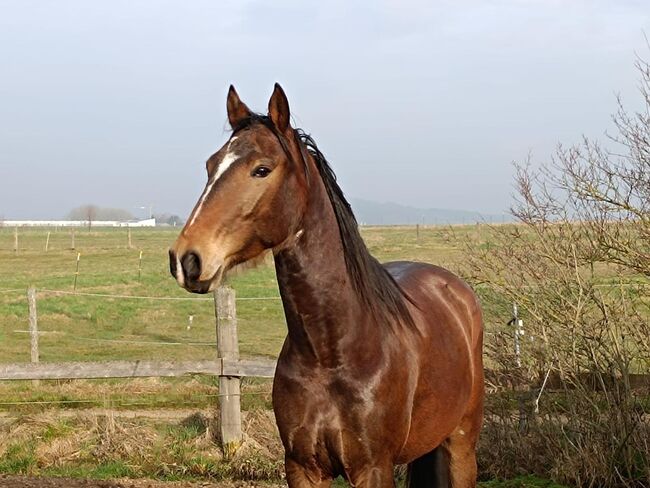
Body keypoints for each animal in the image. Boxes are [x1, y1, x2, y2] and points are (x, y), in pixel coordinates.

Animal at [170, 85, 484, 488]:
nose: (187, 259)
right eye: (211, 166)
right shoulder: (302, 467)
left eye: (261, 169)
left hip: (460, 443)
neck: (332, 353)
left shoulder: (373, 469)